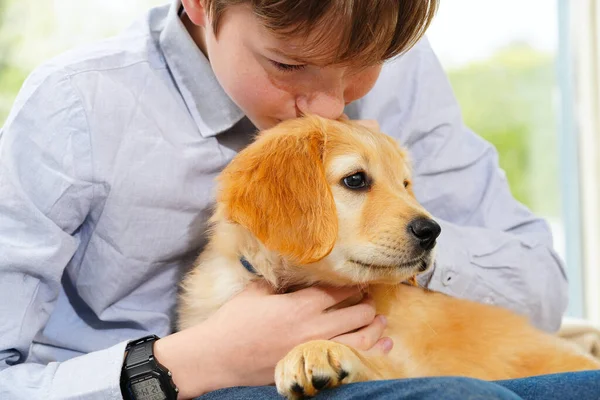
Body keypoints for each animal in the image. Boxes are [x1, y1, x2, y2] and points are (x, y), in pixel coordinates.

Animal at [179, 115, 600, 396]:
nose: (432, 232)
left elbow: (385, 364)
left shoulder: (408, 358)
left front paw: (322, 349)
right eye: (355, 180)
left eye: (405, 184)